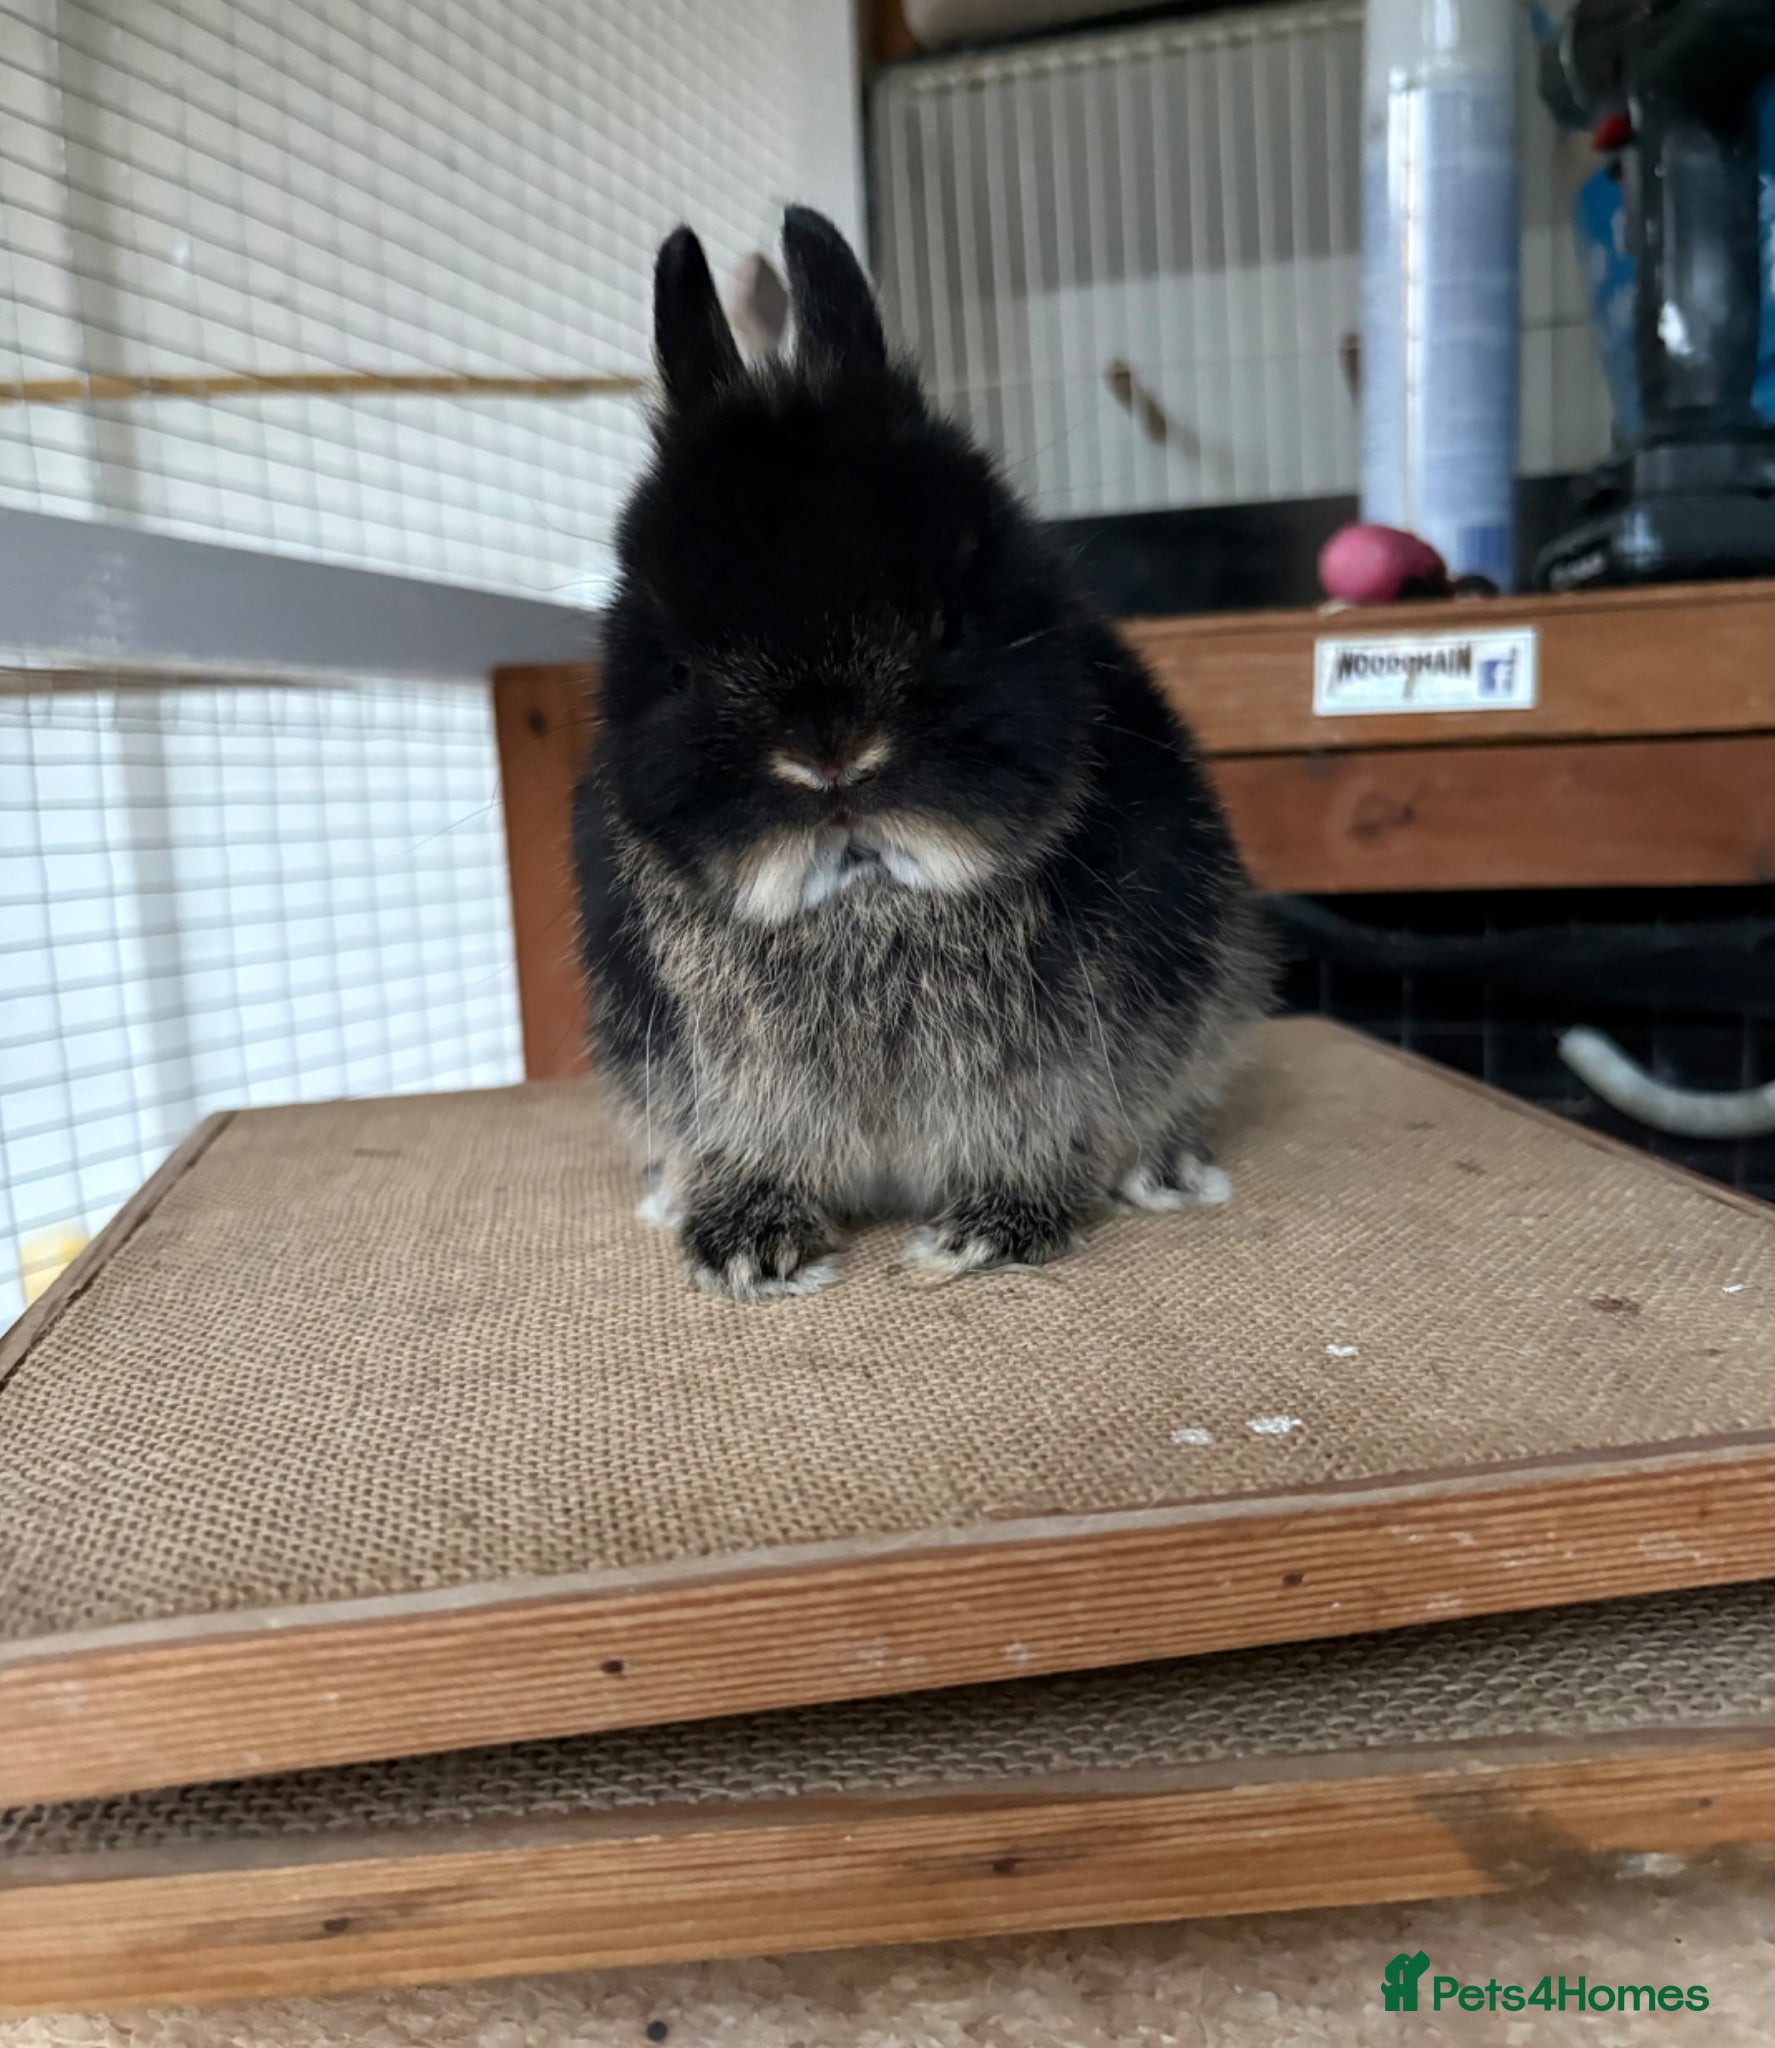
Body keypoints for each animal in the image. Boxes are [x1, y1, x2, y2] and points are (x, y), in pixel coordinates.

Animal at [574, 205, 1272, 1302]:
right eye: (681, 667)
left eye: (948, 621)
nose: (830, 755)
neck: (867, 900)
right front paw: (745, 1243)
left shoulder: (1053, 1074)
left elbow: (1034, 1141)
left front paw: (984, 1234)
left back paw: (1163, 1171)